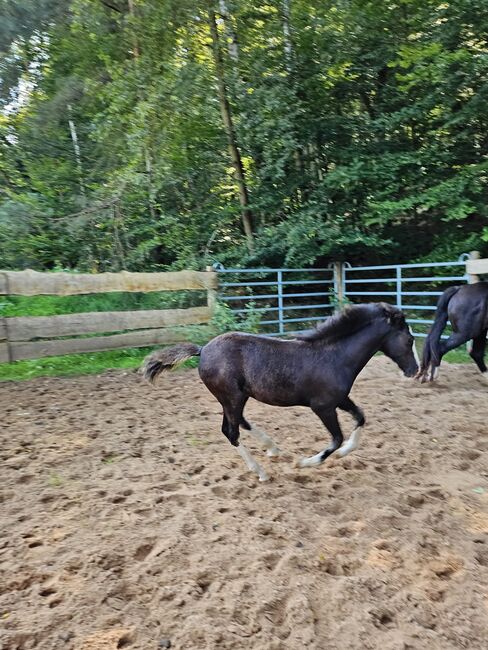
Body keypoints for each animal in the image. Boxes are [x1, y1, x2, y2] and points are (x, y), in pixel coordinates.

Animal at [142, 302, 420, 478]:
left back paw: (273, 449)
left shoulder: (340, 399)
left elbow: (360, 417)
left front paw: (343, 454)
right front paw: (305, 462)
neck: (335, 356)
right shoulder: (323, 406)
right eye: (409, 339)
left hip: (235, 398)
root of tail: (202, 350)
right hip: (231, 397)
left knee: (238, 423)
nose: (415, 370)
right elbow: (336, 438)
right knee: (231, 432)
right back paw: (261, 472)